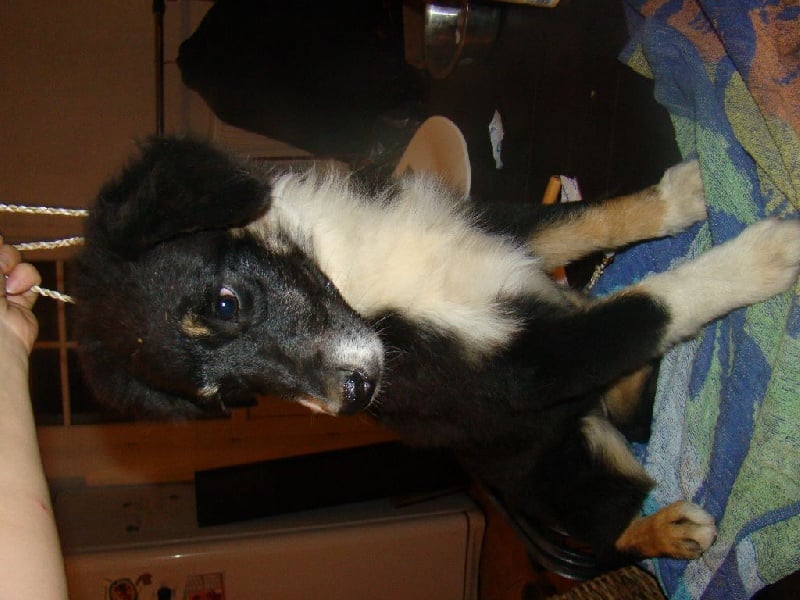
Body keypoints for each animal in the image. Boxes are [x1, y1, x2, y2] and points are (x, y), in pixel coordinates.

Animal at [74, 136, 800, 566]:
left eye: (226, 304)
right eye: (231, 396)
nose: (356, 396)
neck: (356, 280)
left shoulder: (488, 229)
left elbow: (582, 219)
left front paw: (684, 195)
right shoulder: (525, 370)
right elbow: (648, 307)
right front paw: (760, 258)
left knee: (626, 404)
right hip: (552, 474)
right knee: (605, 520)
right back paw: (668, 529)